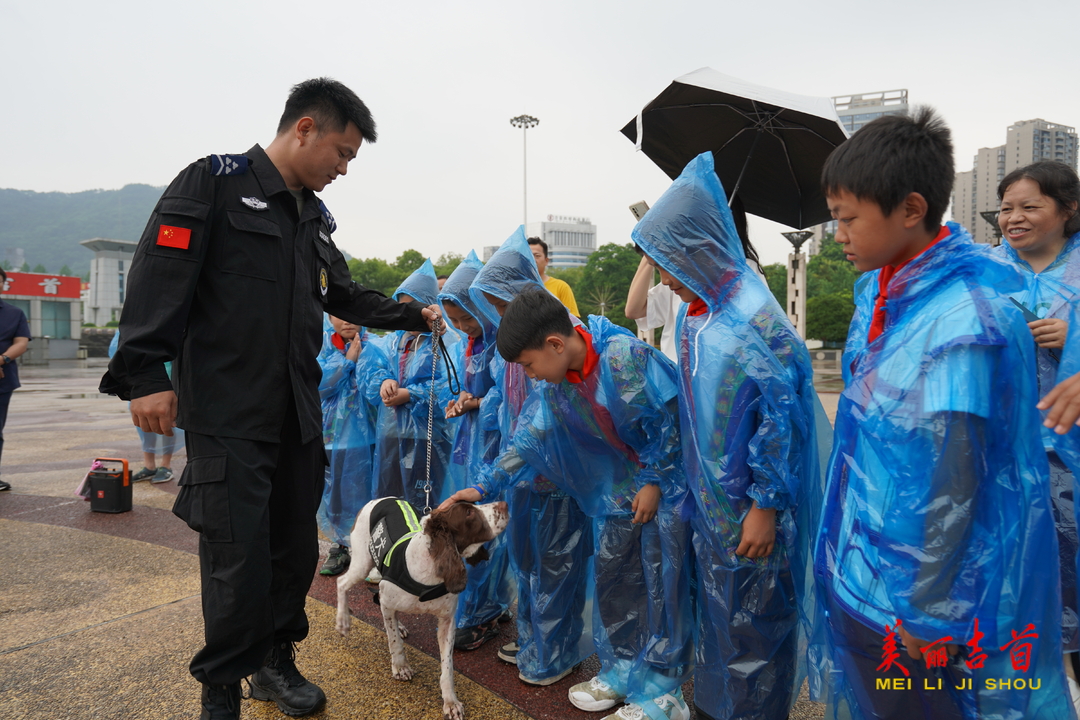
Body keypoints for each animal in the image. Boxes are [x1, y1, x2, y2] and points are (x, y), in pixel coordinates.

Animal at [334, 498, 507, 720]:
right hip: (362, 562)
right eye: (469, 512)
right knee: (342, 583)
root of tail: (379, 499)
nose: (504, 504)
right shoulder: (388, 600)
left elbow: (447, 667)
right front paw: (400, 667)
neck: (430, 570)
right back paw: (343, 621)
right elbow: (394, 642)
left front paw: (451, 702)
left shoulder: (447, 621)